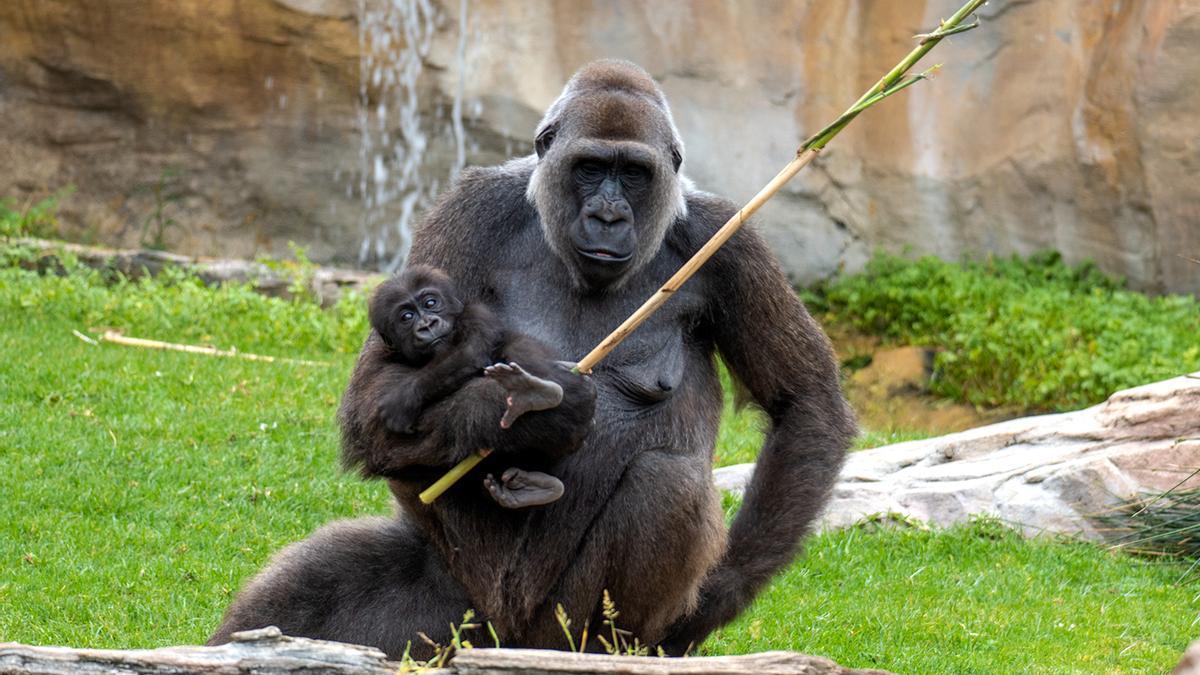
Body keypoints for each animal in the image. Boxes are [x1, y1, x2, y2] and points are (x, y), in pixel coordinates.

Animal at [367, 263, 568, 504]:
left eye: (431, 303)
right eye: (406, 316)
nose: (427, 324)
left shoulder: (476, 313)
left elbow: (470, 350)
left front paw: (404, 399)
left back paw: (536, 393)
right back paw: (535, 489)